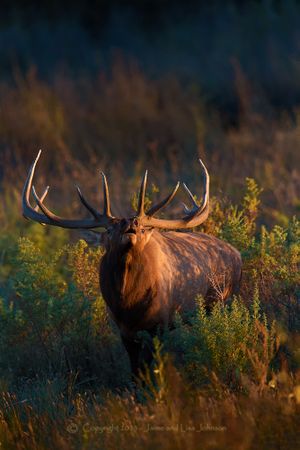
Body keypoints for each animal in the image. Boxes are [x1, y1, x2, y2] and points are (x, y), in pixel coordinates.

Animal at [22, 151, 243, 376]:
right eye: (109, 229)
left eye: (144, 228)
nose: (130, 222)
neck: (127, 303)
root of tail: (237, 254)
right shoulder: (123, 330)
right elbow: (135, 370)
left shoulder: (159, 324)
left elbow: (146, 367)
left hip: (220, 301)